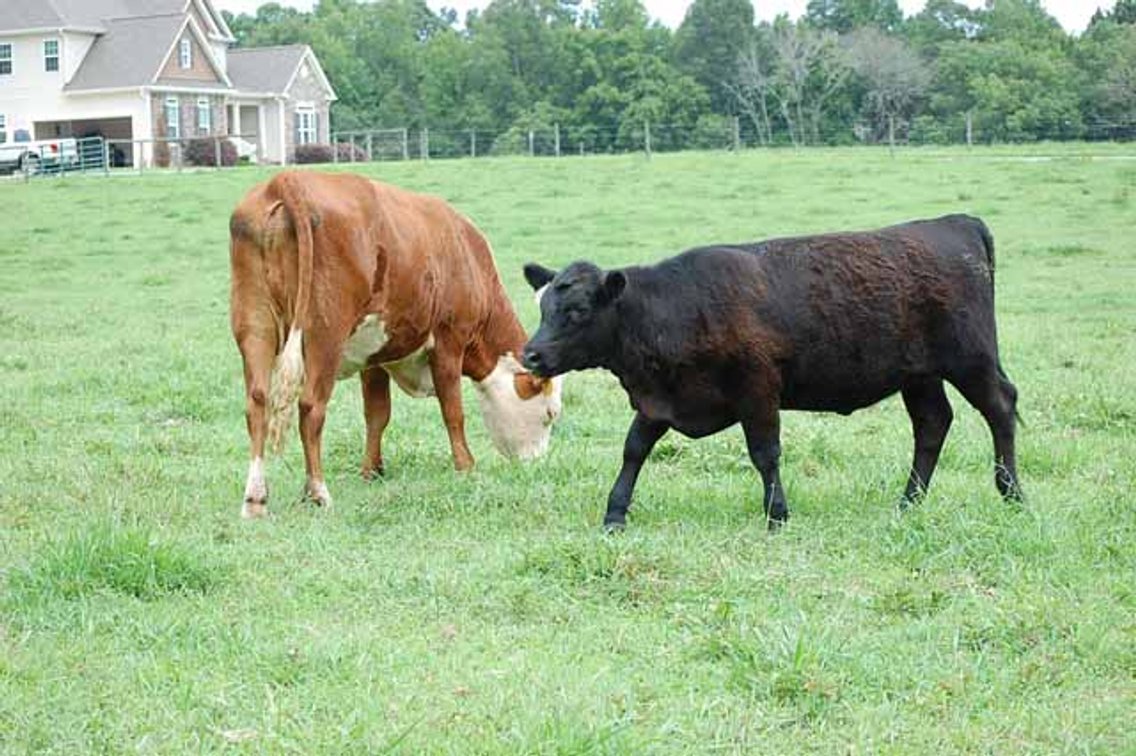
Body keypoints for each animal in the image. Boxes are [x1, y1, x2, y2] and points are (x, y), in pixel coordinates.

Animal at [230, 171, 562, 518]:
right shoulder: (449, 341)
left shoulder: (373, 354)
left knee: (257, 404)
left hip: (255, 326)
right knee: (310, 408)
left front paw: (371, 471)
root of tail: (287, 179)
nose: (535, 465)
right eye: (550, 414)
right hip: (325, 335)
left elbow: (377, 415)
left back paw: (255, 499)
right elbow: (453, 410)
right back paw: (318, 492)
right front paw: (466, 466)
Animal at [521, 214, 1022, 530]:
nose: (531, 355)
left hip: (971, 359)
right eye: (544, 307)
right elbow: (633, 451)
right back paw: (908, 501)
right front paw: (615, 514)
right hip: (919, 375)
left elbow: (765, 453)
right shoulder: (660, 401)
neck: (676, 307)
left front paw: (777, 514)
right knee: (933, 424)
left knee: (1000, 407)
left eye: (578, 310)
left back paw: (1011, 492)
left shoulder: (758, 390)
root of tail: (957, 223)